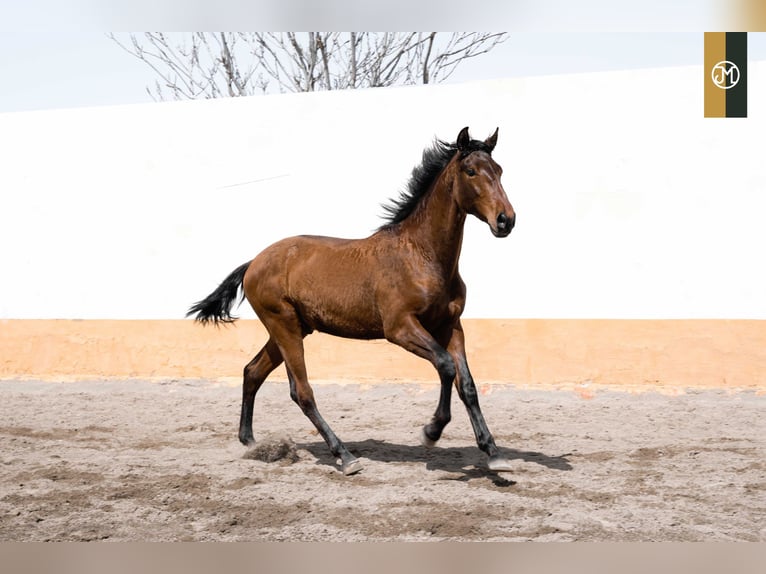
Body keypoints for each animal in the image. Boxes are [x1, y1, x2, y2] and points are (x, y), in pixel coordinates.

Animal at [189, 127, 520, 476]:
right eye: (470, 171)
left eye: (499, 170)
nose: (505, 220)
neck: (422, 256)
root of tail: (253, 262)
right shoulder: (399, 328)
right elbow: (445, 366)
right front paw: (431, 432)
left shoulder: (450, 326)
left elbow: (466, 384)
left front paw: (493, 453)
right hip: (284, 326)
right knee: (302, 391)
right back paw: (344, 456)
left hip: (290, 329)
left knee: (253, 372)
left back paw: (250, 442)